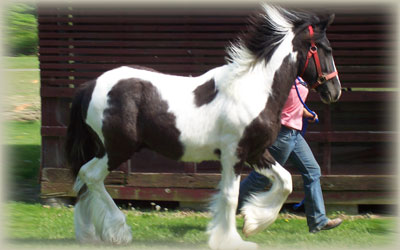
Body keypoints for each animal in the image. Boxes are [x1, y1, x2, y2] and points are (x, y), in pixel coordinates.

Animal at [65, 4, 340, 250]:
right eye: (325, 49)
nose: (334, 91)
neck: (254, 89)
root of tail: (89, 86)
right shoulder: (233, 154)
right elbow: (230, 196)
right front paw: (231, 240)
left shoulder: (256, 153)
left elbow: (286, 182)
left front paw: (253, 223)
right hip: (117, 149)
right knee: (90, 176)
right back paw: (118, 232)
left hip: (103, 149)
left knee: (82, 181)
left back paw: (88, 234)